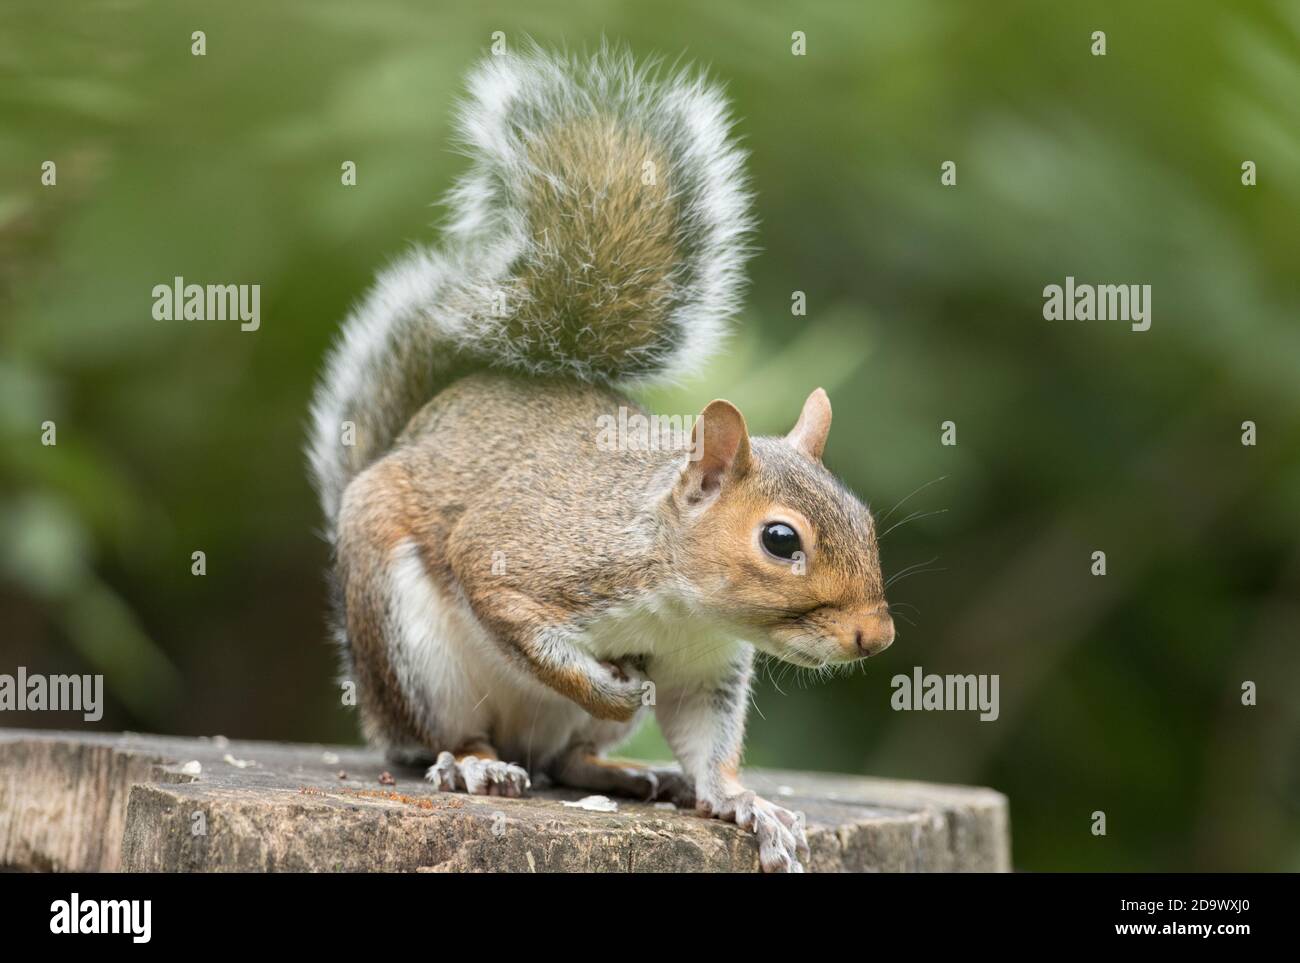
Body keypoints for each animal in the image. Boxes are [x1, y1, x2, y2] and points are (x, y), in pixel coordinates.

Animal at [305, 43, 894, 873]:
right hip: (409, 648)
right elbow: (517, 616)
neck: (679, 598)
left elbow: (707, 743)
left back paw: (627, 772)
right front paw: (608, 685)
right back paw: (476, 763)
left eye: (864, 517)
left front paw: (742, 800)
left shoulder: (706, 666)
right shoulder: (526, 557)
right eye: (781, 540)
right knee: (445, 737)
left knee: (563, 759)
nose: (876, 636)